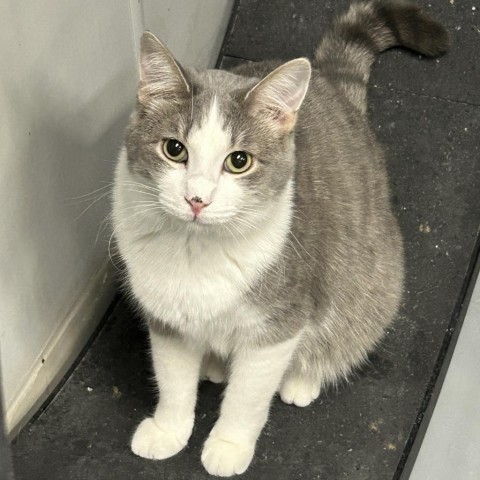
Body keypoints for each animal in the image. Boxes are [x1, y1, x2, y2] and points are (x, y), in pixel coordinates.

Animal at [111, 0, 446, 476]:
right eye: (174, 149)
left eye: (239, 161)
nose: (197, 199)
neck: (197, 250)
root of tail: (336, 90)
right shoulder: (167, 318)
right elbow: (173, 380)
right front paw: (169, 429)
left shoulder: (278, 325)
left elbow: (248, 396)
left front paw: (229, 444)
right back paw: (213, 364)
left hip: (369, 283)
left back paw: (303, 378)